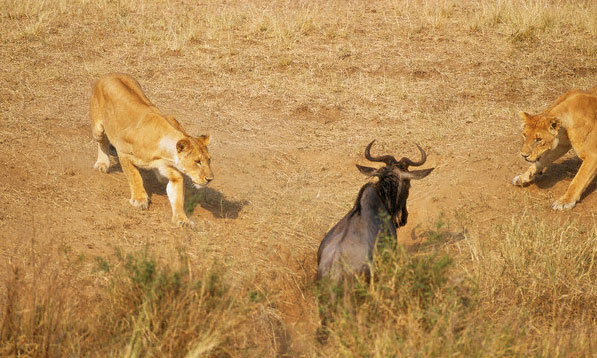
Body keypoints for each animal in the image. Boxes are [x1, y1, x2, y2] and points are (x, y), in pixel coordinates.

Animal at [89, 73, 213, 227]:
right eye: (197, 161)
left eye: (209, 160)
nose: (210, 179)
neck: (165, 152)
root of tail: (110, 74)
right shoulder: (124, 151)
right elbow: (135, 176)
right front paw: (139, 199)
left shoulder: (172, 171)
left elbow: (177, 196)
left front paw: (182, 219)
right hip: (98, 128)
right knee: (102, 141)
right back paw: (102, 163)